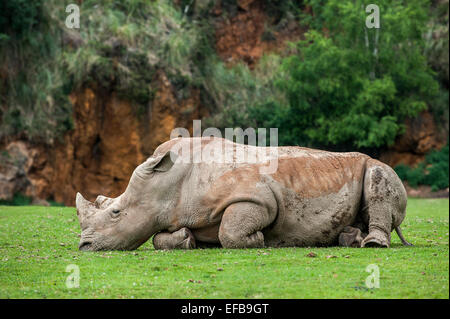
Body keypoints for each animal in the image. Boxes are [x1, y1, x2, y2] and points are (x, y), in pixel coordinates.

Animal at [76, 138, 412, 252]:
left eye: (116, 213)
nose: (84, 246)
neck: (168, 183)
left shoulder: (257, 198)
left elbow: (230, 231)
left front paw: (260, 239)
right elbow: (160, 238)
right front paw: (187, 240)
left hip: (377, 167)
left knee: (378, 176)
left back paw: (372, 244)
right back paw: (350, 239)